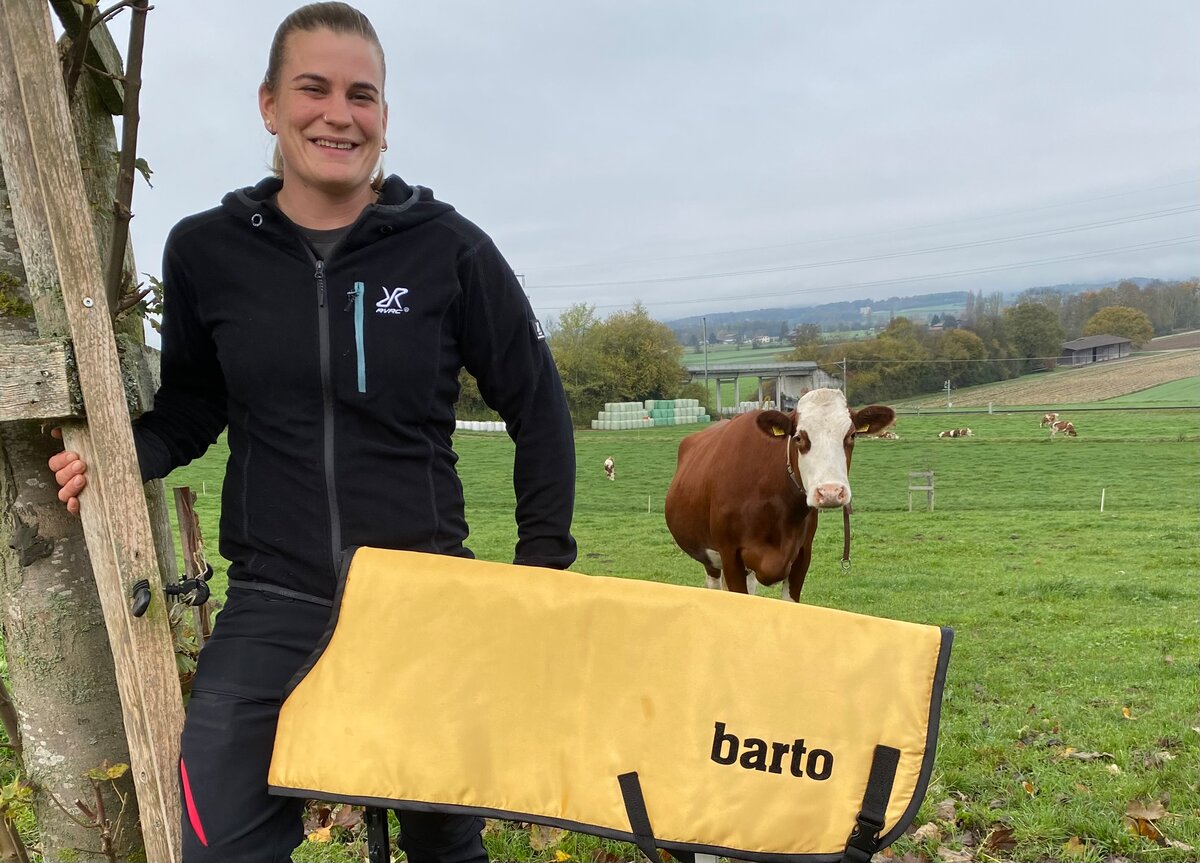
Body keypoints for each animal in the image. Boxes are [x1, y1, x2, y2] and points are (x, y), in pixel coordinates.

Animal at [664, 388, 895, 601]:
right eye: (799, 437)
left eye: (852, 435)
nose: (830, 492)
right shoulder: (730, 555)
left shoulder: (802, 556)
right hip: (710, 558)